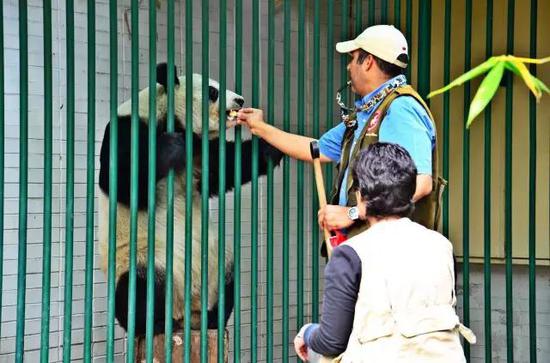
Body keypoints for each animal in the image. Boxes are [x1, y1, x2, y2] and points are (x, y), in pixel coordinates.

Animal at [97, 61, 284, 336]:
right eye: (212, 91)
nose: (240, 100)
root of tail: (186, 312)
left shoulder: (200, 154)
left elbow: (223, 170)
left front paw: (272, 144)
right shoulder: (128, 128)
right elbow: (121, 183)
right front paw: (170, 147)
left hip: (215, 262)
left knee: (227, 276)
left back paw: (213, 320)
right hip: (144, 256)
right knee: (139, 286)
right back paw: (153, 324)